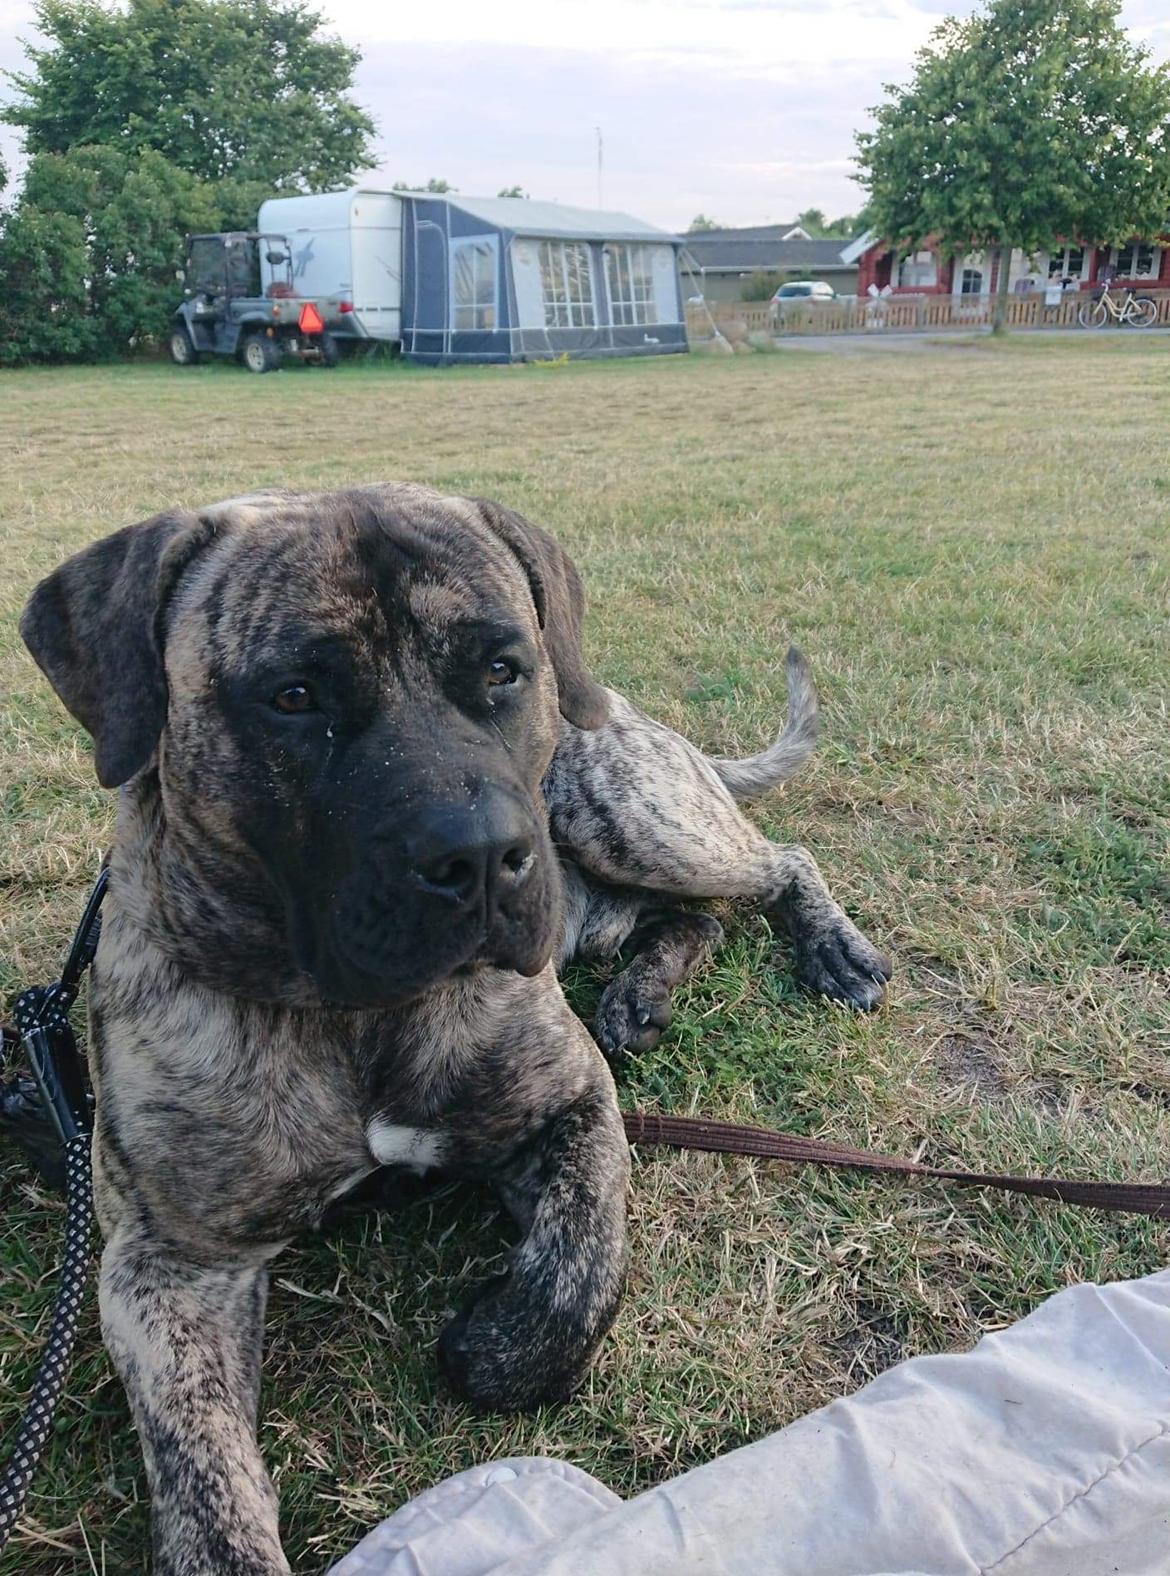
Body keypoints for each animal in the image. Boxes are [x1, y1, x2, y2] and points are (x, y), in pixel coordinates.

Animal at [20, 485, 889, 1569]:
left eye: (502, 670)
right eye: (294, 696)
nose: (481, 855)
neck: (359, 1019)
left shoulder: (570, 1105)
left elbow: (585, 1260)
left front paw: (495, 1347)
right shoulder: (169, 1265)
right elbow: (205, 1476)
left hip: (629, 814)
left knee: (774, 866)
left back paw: (828, 949)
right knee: (686, 918)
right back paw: (642, 992)